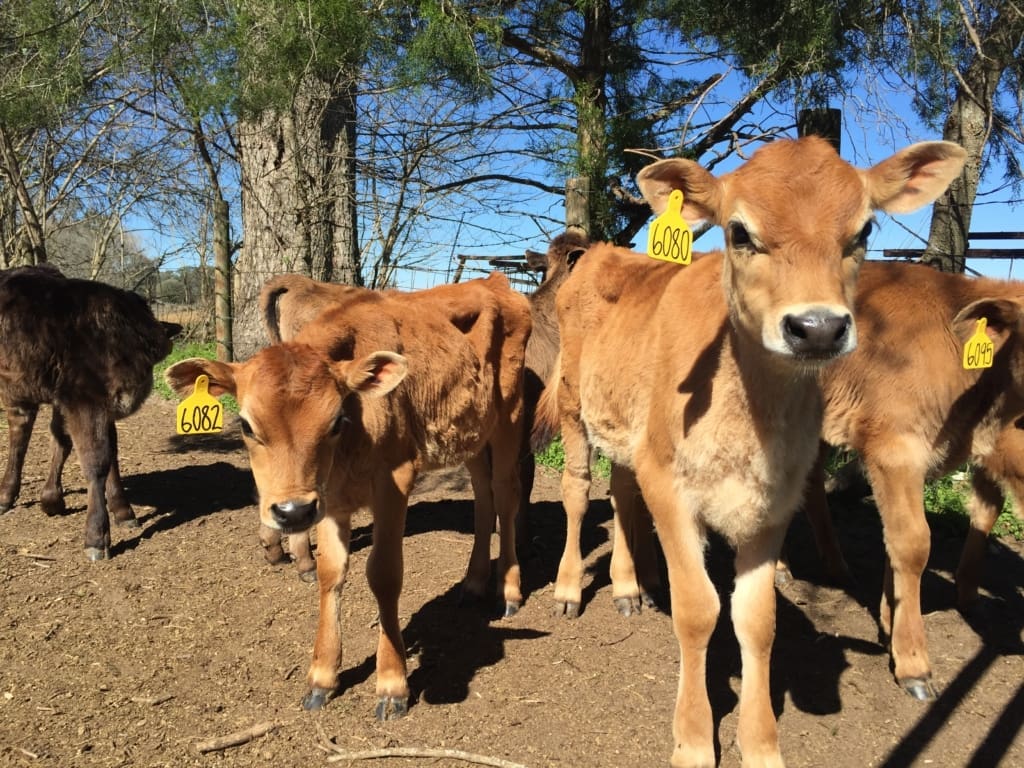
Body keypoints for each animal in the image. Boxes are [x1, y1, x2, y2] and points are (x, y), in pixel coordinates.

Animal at [0, 264, 178, 561]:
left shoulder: (105, 407)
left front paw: (122, 510)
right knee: (20, 434)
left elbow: (111, 453)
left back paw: (51, 498)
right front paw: (96, 536)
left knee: (53, 437)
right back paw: (8, 494)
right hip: (16, 388)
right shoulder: (85, 401)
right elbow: (97, 461)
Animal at [163, 274, 532, 720]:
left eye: (336, 420)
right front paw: (322, 676)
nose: (291, 511)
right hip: (470, 429)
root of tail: (493, 280)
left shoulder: (394, 481)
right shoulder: (328, 499)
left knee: (505, 493)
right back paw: (475, 582)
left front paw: (392, 683)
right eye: (247, 426)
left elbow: (384, 574)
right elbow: (330, 572)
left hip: (509, 414)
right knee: (482, 495)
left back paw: (508, 590)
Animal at [536, 140, 966, 768]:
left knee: (620, 492)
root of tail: (597, 253)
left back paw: (629, 586)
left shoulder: (774, 502)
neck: (752, 425)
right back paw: (570, 588)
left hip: (626, 428)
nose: (818, 328)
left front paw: (761, 742)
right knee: (575, 491)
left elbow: (756, 621)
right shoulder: (671, 484)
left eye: (863, 230)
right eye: (739, 232)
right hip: (572, 404)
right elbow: (698, 610)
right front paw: (693, 738)